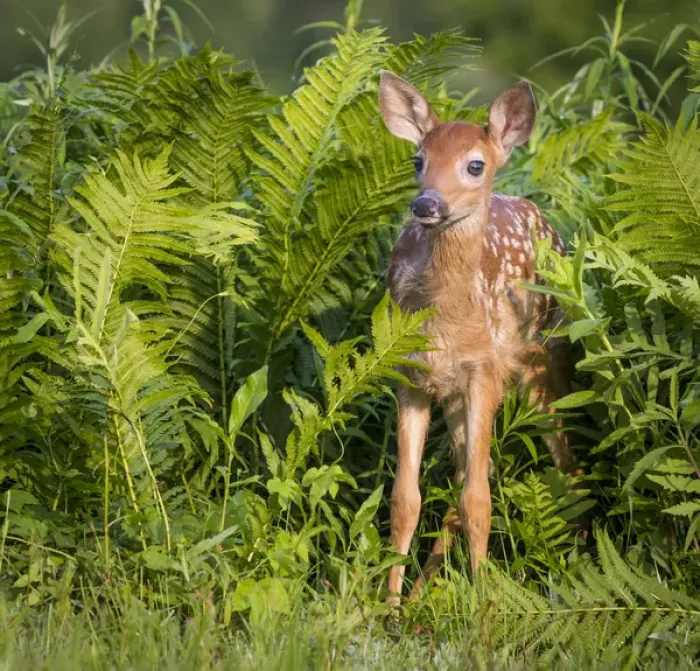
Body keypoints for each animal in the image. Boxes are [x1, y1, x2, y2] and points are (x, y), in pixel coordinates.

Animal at [378, 71, 580, 604]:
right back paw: (421, 594)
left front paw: (485, 604)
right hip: (455, 394)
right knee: (469, 470)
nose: (426, 203)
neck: (446, 323)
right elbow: (405, 498)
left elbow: (478, 501)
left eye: (475, 164)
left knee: (564, 463)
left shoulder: (484, 372)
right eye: (417, 160)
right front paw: (388, 606)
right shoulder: (409, 377)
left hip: (542, 360)